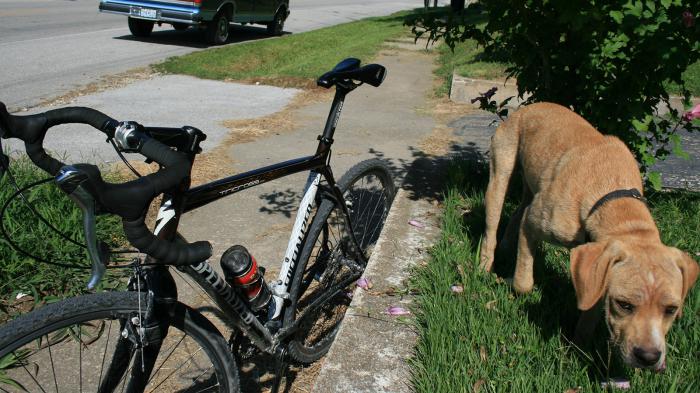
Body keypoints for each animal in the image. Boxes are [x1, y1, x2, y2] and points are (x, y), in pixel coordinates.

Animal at [482, 102, 700, 370]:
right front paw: (514, 283)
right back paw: (484, 265)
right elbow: (525, 282)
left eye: (671, 309)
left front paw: (579, 347)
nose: (649, 357)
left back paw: (505, 247)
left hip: (531, 186)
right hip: (500, 172)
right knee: (492, 224)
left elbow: (590, 311)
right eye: (624, 305)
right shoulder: (533, 224)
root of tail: (530, 106)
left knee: (517, 212)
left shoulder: (596, 270)